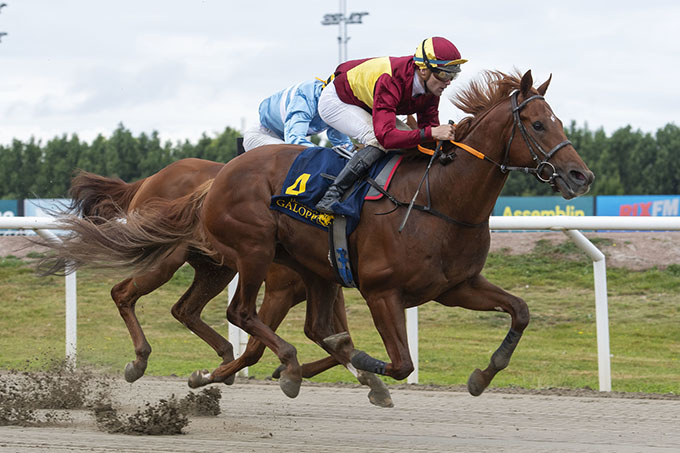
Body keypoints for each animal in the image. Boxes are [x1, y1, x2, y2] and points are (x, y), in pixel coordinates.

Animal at [43, 70, 596, 400]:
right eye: (537, 124)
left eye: (556, 120)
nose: (580, 176)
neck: (438, 199)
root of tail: (211, 180)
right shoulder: (378, 290)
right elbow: (393, 359)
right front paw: (361, 369)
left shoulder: (454, 286)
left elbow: (519, 310)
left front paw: (482, 375)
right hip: (237, 252)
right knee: (199, 306)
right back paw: (160, 363)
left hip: (233, 264)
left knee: (192, 310)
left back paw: (217, 366)